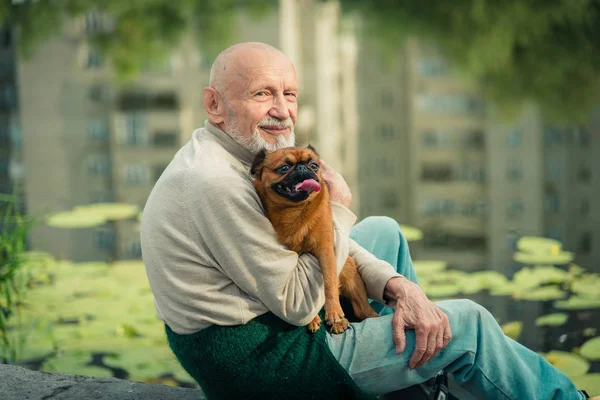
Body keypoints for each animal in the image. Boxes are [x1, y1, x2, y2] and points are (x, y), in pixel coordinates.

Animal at [251, 145, 378, 332]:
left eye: (314, 165)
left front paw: (336, 316)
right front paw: (312, 319)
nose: (302, 167)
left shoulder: (326, 251)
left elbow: (330, 284)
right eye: (284, 168)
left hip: (350, 277)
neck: (295, 210)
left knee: (364, 310)